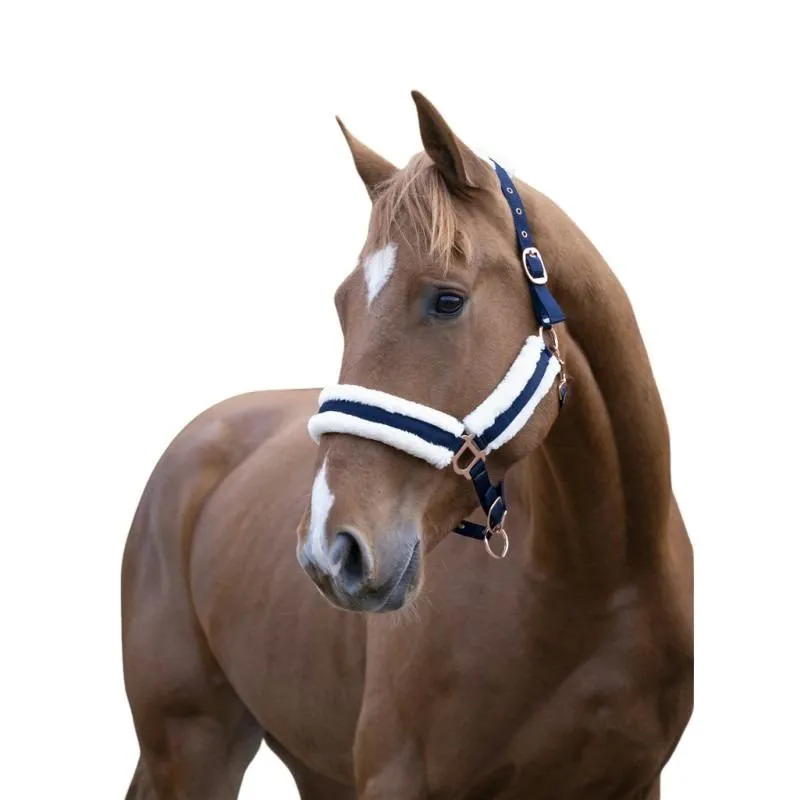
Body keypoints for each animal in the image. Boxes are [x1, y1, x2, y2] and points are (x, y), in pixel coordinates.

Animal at [122, 91, 693, 799]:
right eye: (343, 305)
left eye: (447, 300)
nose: (330, 552)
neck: (600, 579)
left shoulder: (636, 781)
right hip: (192, 746)